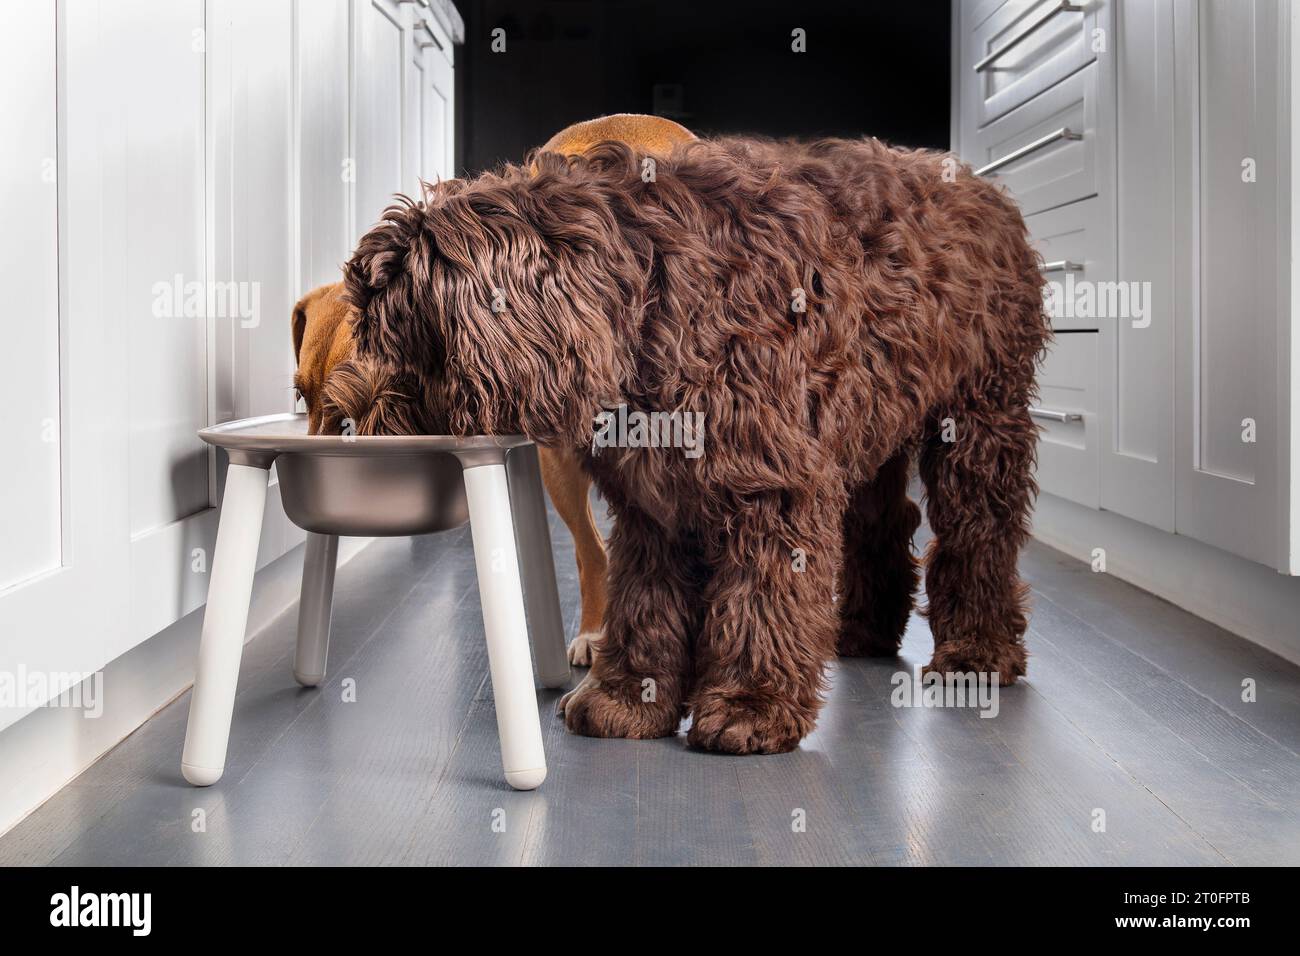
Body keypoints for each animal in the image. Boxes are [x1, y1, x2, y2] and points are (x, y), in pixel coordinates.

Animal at [330, 138, 1050, 759]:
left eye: (402, 338)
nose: (352, 421)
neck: (648, 290)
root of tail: (983, 185)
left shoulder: (771, 482)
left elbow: (761, 595)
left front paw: (751, 706)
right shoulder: (654, 497)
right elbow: (644, 598)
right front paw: (628, 698)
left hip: (978, 415)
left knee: (980, 528)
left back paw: (977, 653)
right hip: (874, 414)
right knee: (885, 521)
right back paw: (862, 631)